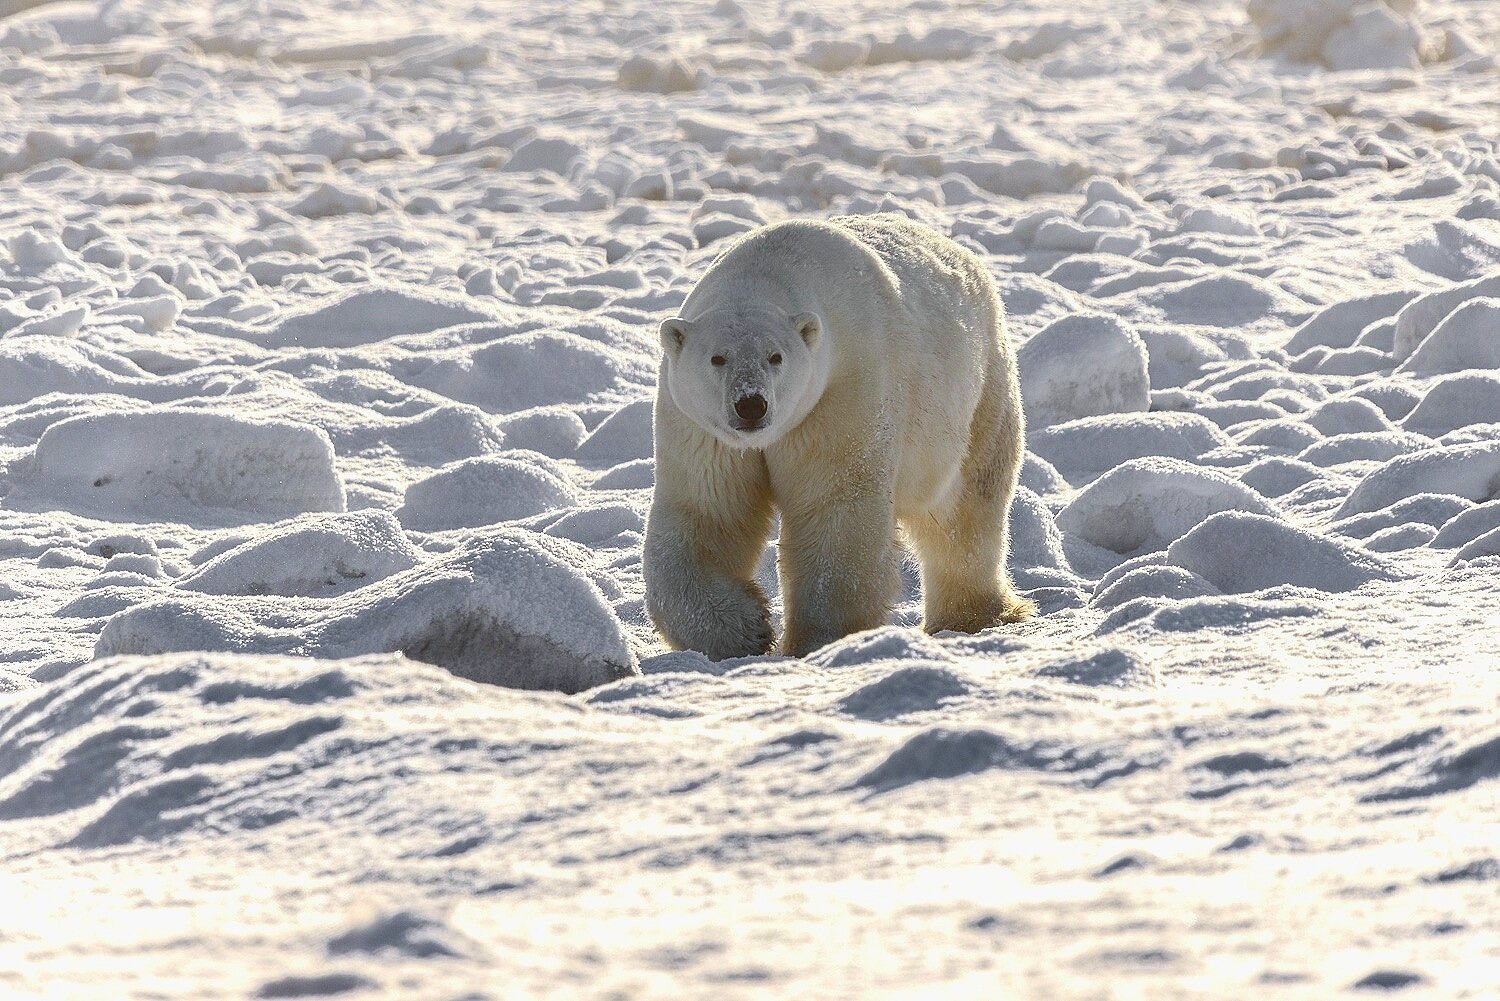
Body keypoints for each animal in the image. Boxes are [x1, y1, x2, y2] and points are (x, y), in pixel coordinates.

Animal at [645, 216, 1032, 660]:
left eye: (775, 357)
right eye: (717, 358)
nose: (751, 405)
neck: (768, 271)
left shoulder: (842, 392)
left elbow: (835, 508)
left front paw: (819, 638)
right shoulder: (702, 431)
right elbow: (708, 512)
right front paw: (741, 630)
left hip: (979, 389)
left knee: (969, 505)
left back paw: (972, 615)